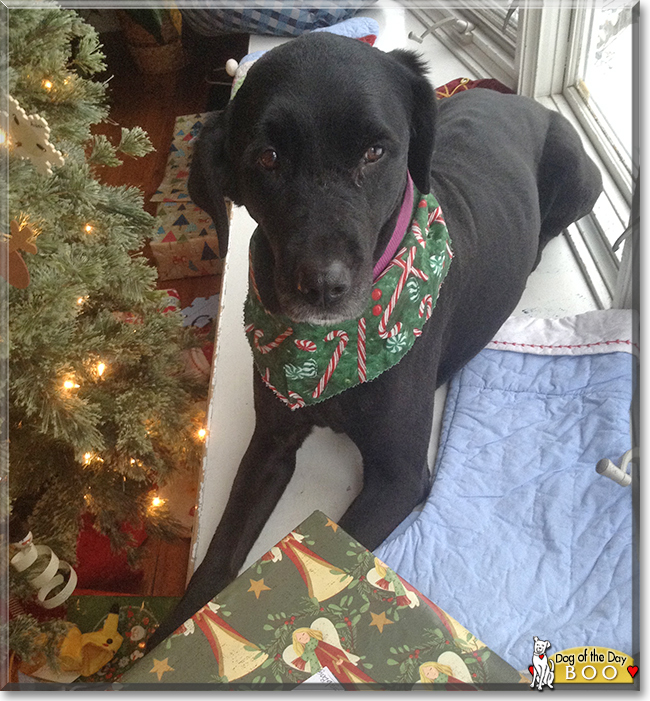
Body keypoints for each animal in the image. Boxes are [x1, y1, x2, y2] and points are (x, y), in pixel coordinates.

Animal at [148, 31, 604, 644]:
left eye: (374, 152)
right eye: (266, 157)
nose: (323, 284)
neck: (328, 352)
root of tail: (522, 101)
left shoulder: (400, 476)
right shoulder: (271, 440)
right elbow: (220, 556)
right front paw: (167, 638)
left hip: (582, 178)